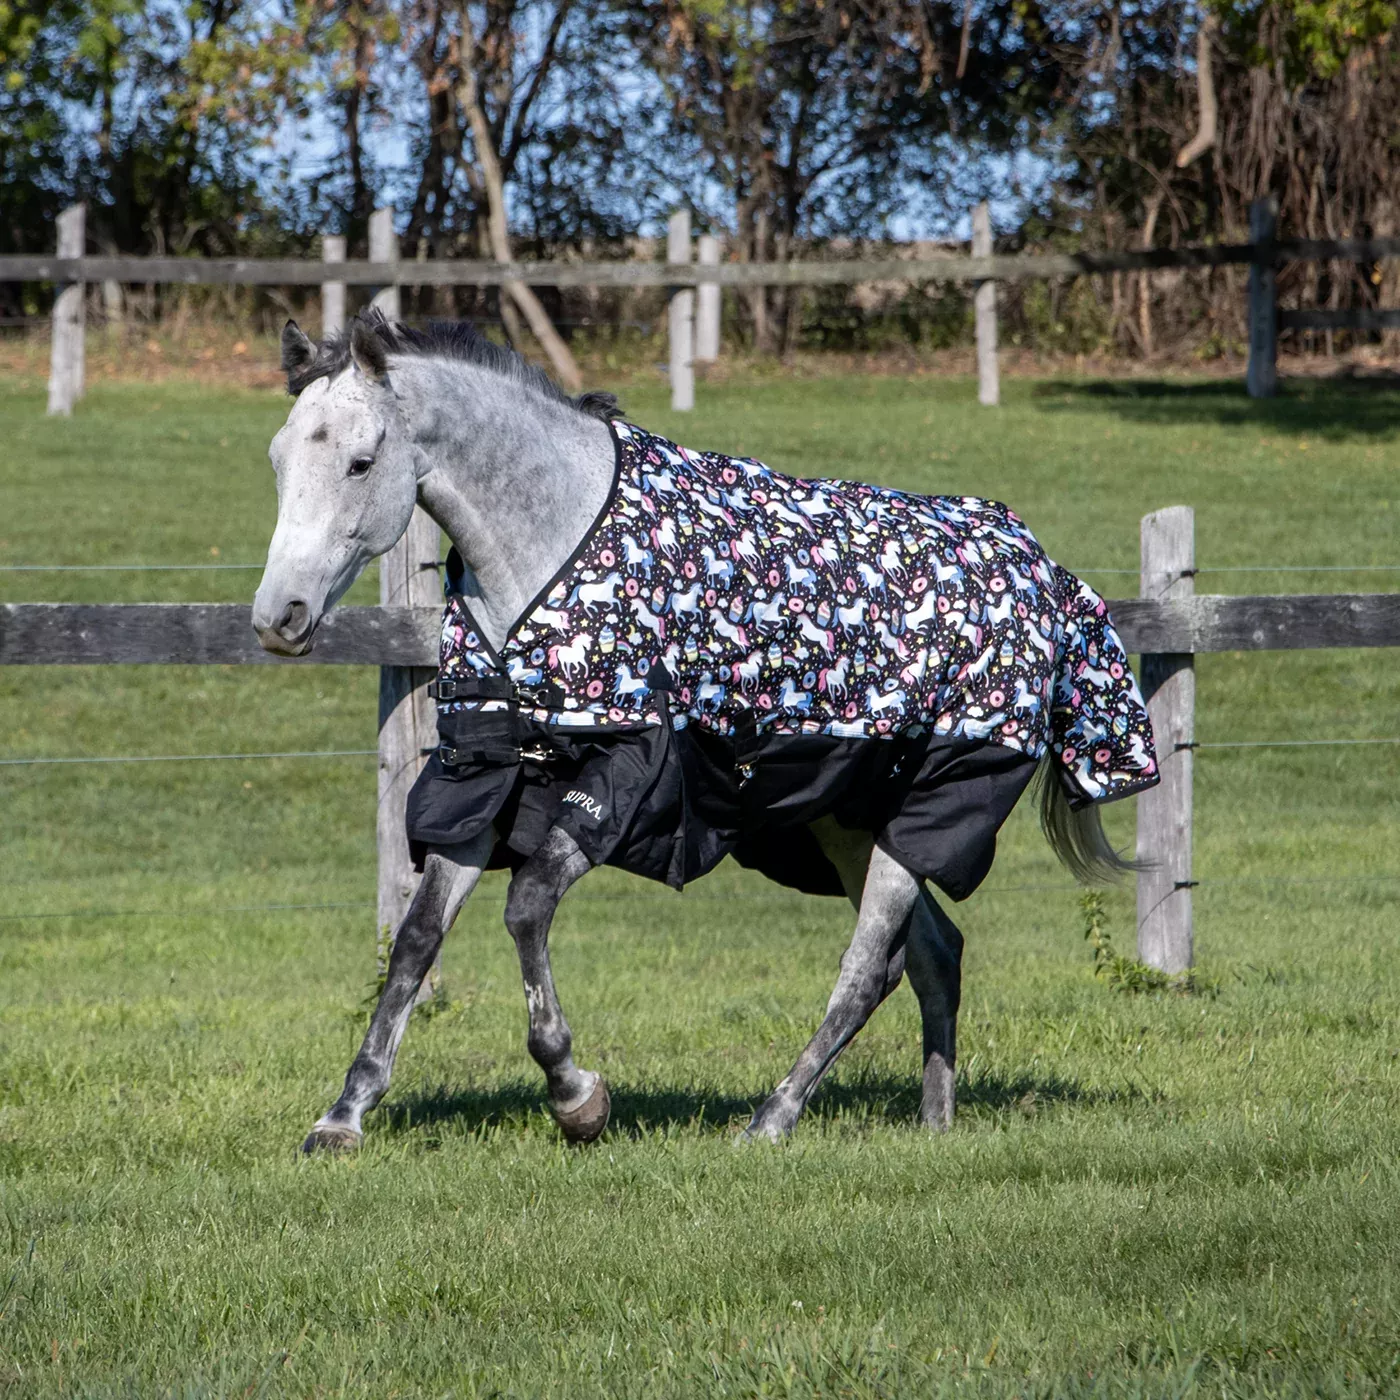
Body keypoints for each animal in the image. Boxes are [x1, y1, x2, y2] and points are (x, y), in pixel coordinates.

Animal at [254, 310, 1157, 1154]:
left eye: (361, 462)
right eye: (277, 458)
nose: (278, 618)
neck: (554, 540)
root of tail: (1044, 572)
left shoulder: (632, 776)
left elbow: (527, 907)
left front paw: (576, 1095)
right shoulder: (486, 772)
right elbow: (415, 942)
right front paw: (344, 1116)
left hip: (936, 803)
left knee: (869, 964)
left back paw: (772, 1119)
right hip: (850, 816)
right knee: (933, 954)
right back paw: (933, 1123)